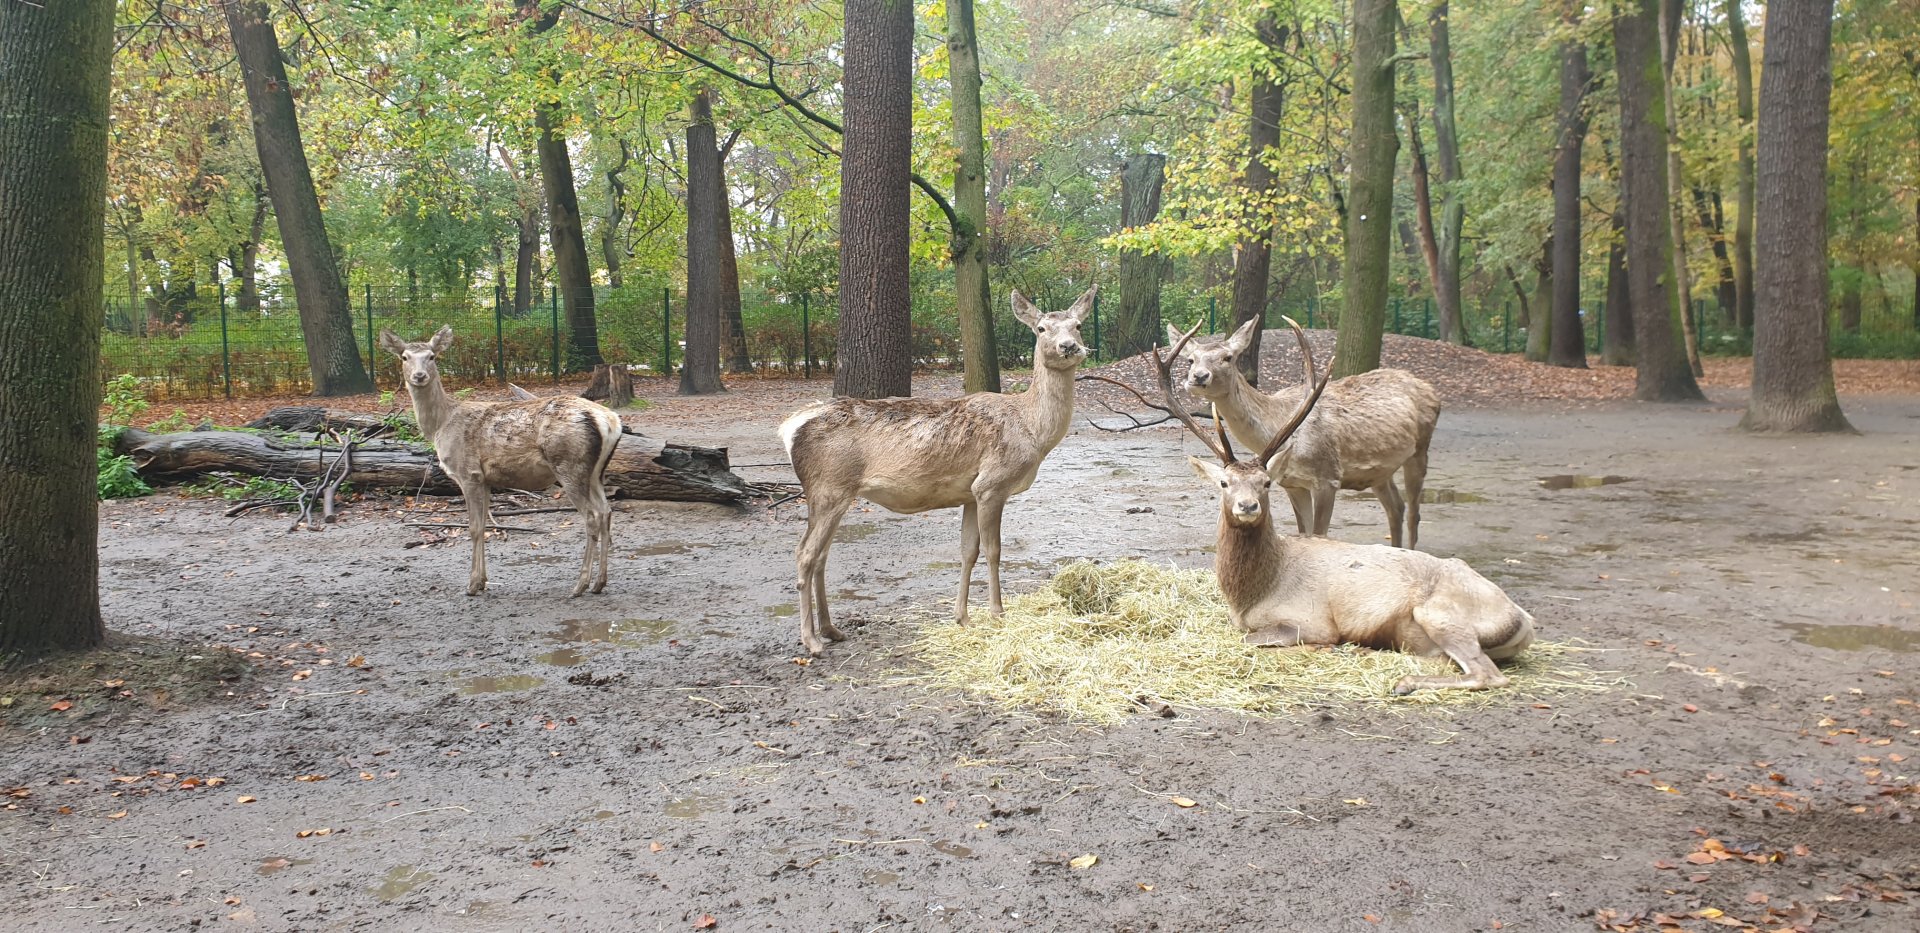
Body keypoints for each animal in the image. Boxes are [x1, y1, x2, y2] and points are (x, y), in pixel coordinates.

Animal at [379, 326, 623, 598]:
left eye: (432, 356)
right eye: (404, 357)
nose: (419, 375)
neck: (440, 425)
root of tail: (610, 420)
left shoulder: (468, 473)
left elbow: (474, 528)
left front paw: (472, 585)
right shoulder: (485, 479)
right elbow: (485, 525)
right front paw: (483, 581)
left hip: (569, 464)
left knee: (591, 516)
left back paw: (580, 585)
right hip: (596, 472)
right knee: (606, 511)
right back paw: (599, 583)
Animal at [778, 288, 1096, 655]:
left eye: (1077, 325)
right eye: (1042, 328)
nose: (1069, 346)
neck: (1031, 429)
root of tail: (788, 428)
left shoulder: (970, 492)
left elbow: (968, 551)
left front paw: (963, 617)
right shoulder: (992, 484)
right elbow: (994, 550)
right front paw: (997, 613)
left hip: (833, 492)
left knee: (821, 556)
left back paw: (832, 629)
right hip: (828, 487)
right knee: (805, 553)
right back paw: (811, 640)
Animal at [1168, 318, 1441, 549]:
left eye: (1228, 357)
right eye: (1191, 359)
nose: (1198, 377)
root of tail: (1430, 389)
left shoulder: (1328, 476)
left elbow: (1320, 534)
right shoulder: (1292, 484)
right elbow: (1304, 533)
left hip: (1422, 447)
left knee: (1414, 511)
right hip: (1379, 472)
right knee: (1396, 507)